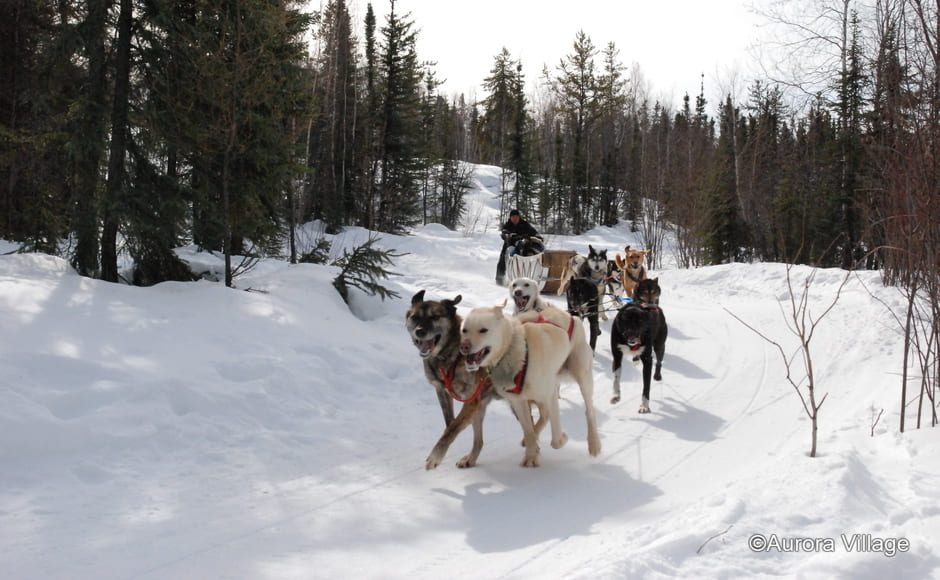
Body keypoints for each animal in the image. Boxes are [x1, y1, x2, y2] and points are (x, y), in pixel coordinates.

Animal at [458, 304, 604, 466]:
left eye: (483, 330)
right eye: (464, 330)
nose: (464, 346)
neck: (516, 353)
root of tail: (573, 317)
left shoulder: (550, 395)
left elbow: (556, 440)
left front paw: (562, 438)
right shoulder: (518, 401)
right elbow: (528, 431)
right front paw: (531, 455)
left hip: (582, 378)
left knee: (589, 411)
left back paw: (594, 443)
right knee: (544, 416)